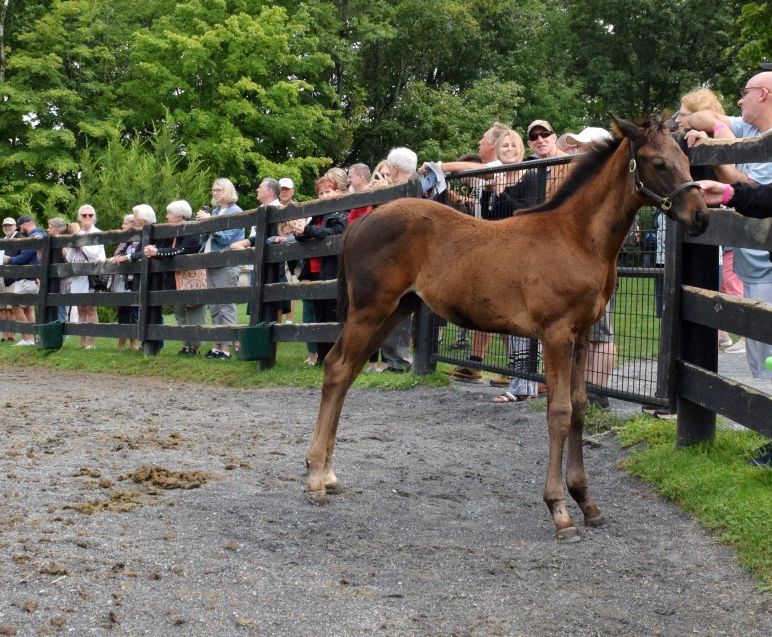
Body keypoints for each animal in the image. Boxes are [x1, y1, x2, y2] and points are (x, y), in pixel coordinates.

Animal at [304, 115, 708, 540]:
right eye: (657, 163)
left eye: (685, 159)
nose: (701, 216)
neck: (578, 238)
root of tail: (363, 220)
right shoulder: (556, 334)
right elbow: (560, 412)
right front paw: (560, 510)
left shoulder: (582, 335)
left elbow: (580, 407)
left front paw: (587, 502)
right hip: (370, 311)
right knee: (336, 369)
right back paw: (316, 478)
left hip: (393, 312)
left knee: (346, 371)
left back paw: (327, 474)